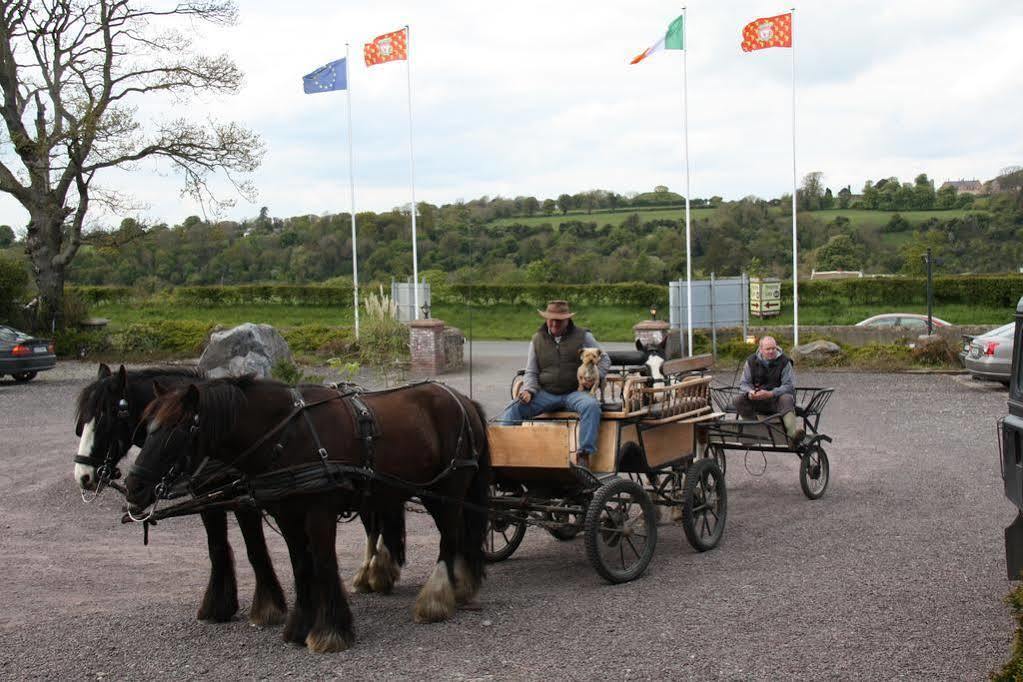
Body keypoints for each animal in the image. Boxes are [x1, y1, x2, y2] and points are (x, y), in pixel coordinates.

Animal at [74, 366, 286, 625]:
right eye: (82, 422)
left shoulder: (245, 503)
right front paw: (217, 607)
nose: (83, 475)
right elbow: (216, 547)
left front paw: (269, 609)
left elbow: (255, 549)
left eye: (107, 417)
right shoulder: (207, 501)